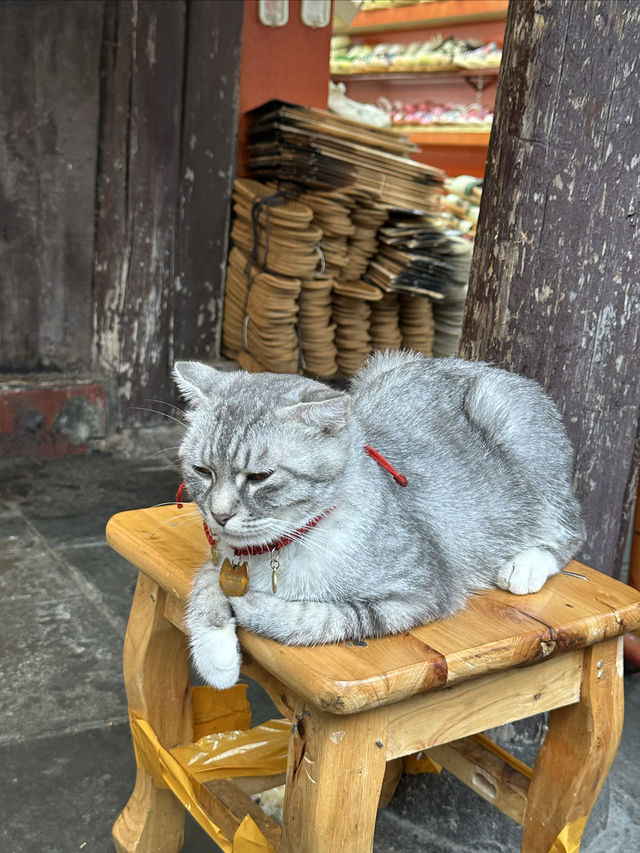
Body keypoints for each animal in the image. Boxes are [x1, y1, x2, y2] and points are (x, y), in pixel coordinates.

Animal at [175, 350, 584, 688]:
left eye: (260, 477)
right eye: (202, 470)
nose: (219, 514)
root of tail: (484, 367)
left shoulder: (420, 593)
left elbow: (322, 618)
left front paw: (252, 608)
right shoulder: (221, 559)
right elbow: (207, 582)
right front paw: (217, 656)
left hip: (508, 423)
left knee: (571, 528)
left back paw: (526, 565)